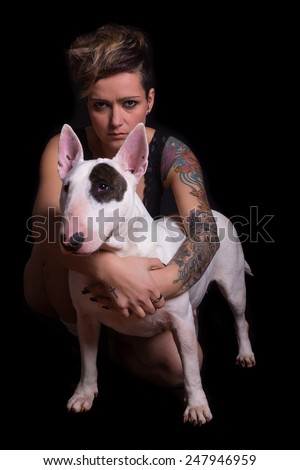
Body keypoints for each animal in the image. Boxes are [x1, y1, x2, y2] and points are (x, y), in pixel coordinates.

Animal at [57, 122, 254, 426]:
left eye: (103, 186)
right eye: (66, 187)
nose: (70, 241)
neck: (122, 254)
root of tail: (215, 213)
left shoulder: (179, 321)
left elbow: (190, 368)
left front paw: (197, 405)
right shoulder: (86, 319)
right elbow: (88, 361)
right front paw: (84, 394)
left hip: (233, 288)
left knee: (240, 319)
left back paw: (245, 353)